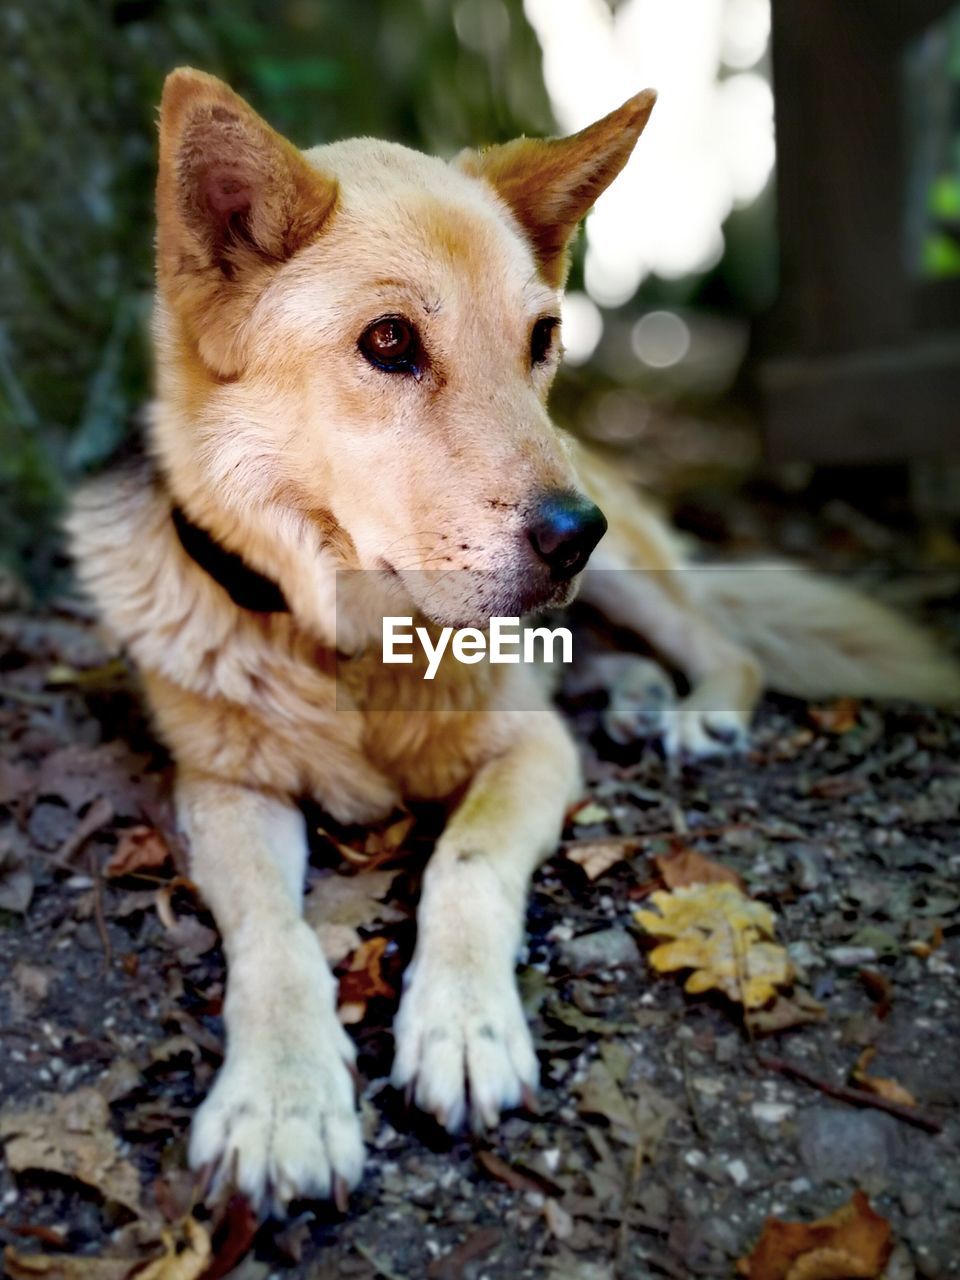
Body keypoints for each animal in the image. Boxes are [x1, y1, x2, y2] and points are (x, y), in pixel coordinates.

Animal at [69, 72, 960, 1218]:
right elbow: (271, 930)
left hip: (637, 578)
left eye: (541, 339)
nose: (576, 535)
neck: (358, 649)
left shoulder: (530, 748)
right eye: (389, 341)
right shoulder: (225, 787)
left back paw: (697, 708)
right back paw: (632, 695)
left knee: (721, 640)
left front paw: (459, 1026)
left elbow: (469, 858)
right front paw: (282, 1096)